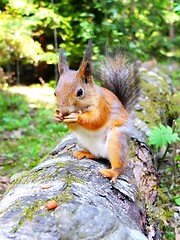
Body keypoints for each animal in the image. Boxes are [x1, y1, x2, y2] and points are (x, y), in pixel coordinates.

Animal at [54, 41, 140, 184]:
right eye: (55, 93)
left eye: (80, 92)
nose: (64, 111)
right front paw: (58, 115)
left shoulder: (102, 104)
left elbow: (96, 120)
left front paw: (77, 117)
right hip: (83, 142)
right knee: (96, 156)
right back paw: (84, 153)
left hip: (117, 140)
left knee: (120, 164)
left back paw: (111, 172)